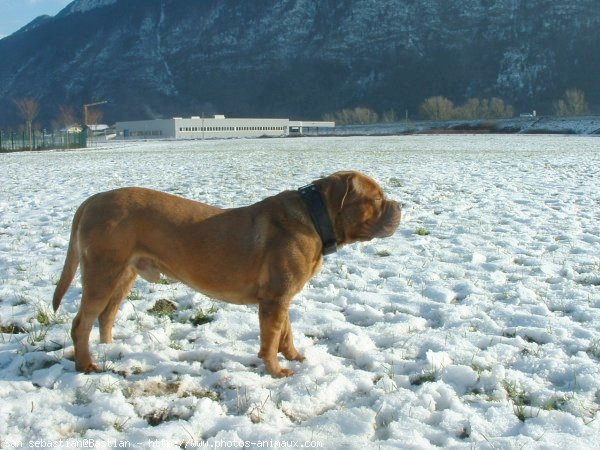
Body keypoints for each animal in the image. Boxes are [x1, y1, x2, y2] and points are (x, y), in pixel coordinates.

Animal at [51, 171, 398, 376]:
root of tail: (92, 201)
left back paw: (109, 349)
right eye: (377, 198)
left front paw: (295, 357)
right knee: (81, 322)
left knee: (106, 315)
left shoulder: (281, 297)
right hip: (102, 273)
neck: (316, 218)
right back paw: (86, 363)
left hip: (123, 275)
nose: (400, 206)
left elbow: (286, 332)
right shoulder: (274, 299)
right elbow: (271, 338)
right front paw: (275, 370)